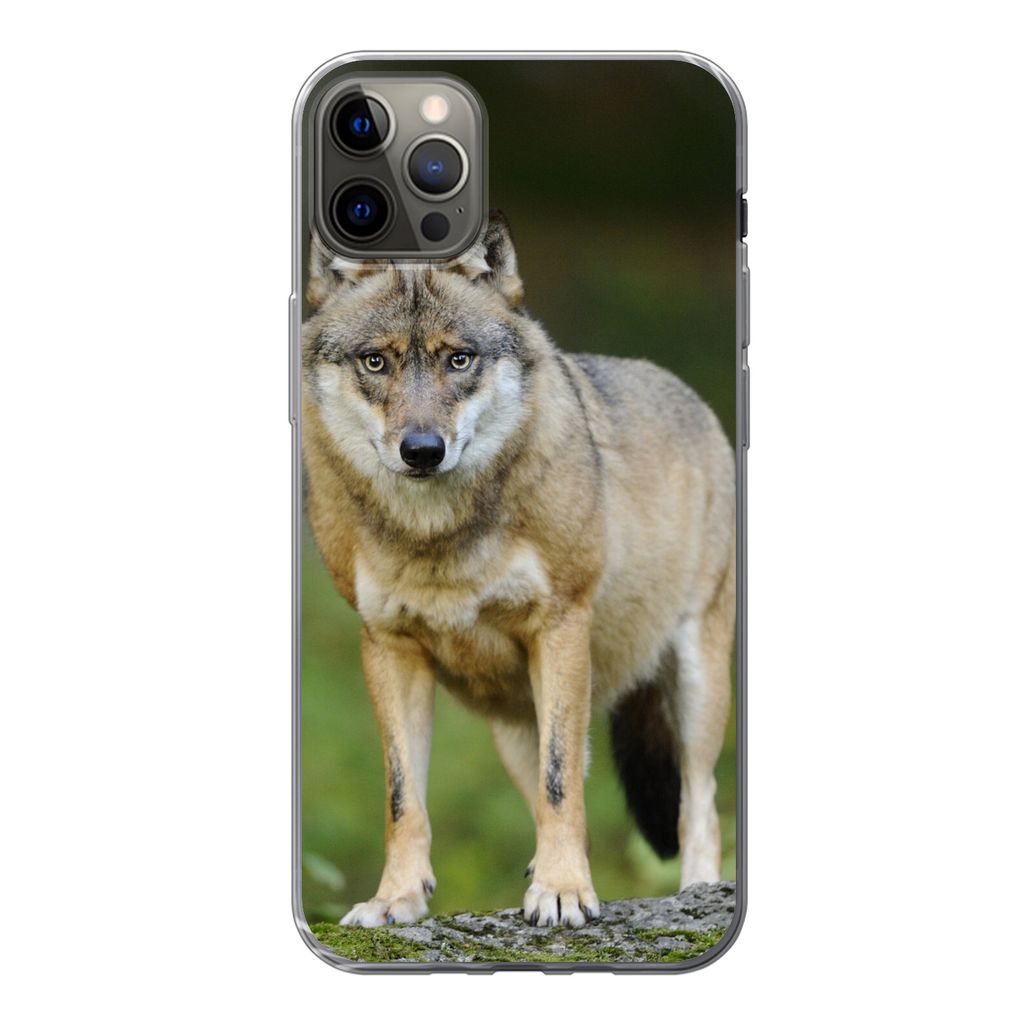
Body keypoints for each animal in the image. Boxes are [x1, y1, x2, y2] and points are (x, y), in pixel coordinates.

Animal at [301, 212, 735, 928]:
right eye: (375, 361)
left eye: (458, 358)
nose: (422, 450)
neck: (438, 540)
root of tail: (689, 394)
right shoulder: (387, 647)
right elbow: (403, 797)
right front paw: (396, 899)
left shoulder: (560, 625)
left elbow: (562, 786)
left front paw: (561, 893)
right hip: (512, 727)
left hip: (696, 686)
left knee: (697, 802)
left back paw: (692, 893)